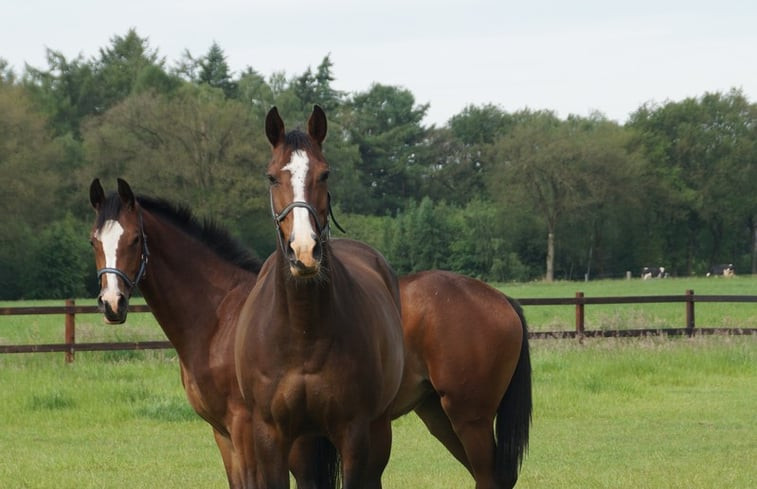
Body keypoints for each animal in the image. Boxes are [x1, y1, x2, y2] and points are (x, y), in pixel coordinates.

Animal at [235, 107, 408, 488]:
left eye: (324, 173)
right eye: (272, 177)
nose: (304, 252)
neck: (303, 332)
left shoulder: (354, 434)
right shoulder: (270, 435)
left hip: (379, 432)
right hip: (304, 444)